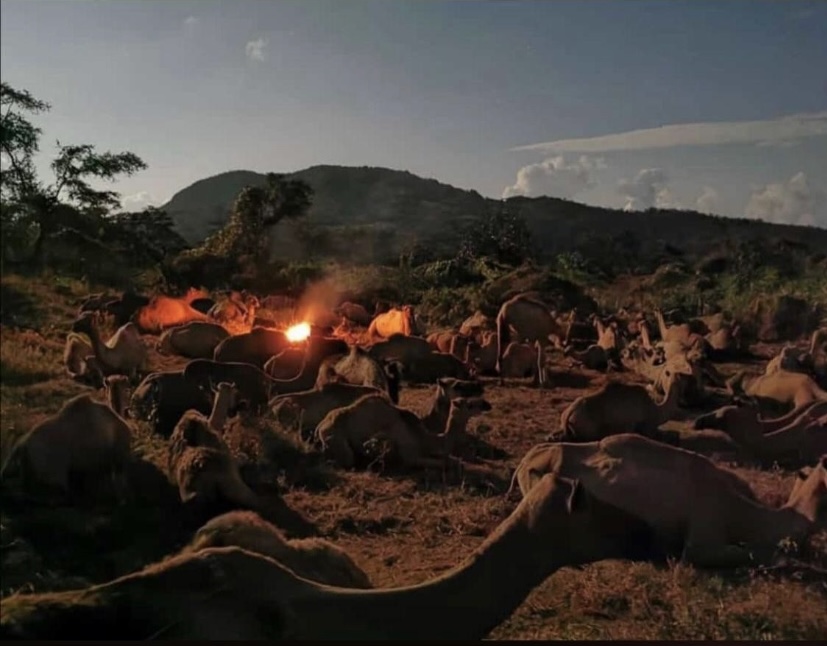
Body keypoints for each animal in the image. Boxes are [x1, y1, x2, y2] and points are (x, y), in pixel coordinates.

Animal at [315, 394, 491, 470]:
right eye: (469, 404)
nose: (487, 404)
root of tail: (320, 425)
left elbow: (451, 459)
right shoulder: (410, 456)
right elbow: (447, 462)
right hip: (336, 441)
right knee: (346, 458)